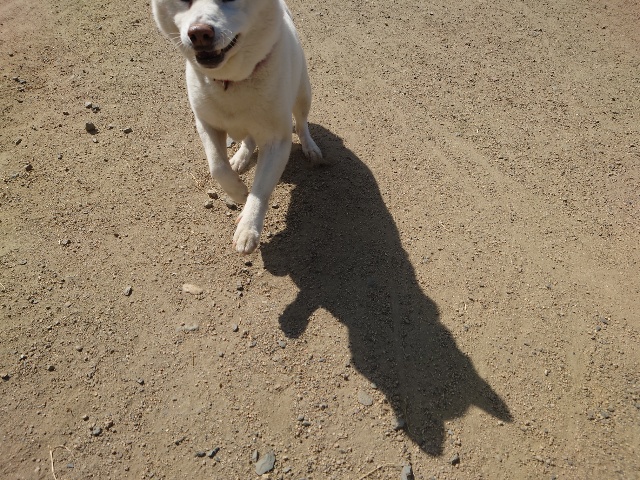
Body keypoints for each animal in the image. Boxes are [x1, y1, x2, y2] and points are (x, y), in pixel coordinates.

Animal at [151, 0, 323, 254]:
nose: (199, 33)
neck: (230, 80)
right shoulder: (206, 124)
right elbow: (217, 167)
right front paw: (238, 191)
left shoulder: (276, 141)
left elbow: (261, 189)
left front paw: (248, 227)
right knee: (248, 139)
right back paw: (241, 157)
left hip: (303, 94)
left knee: (301, 124)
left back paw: (310, 148)